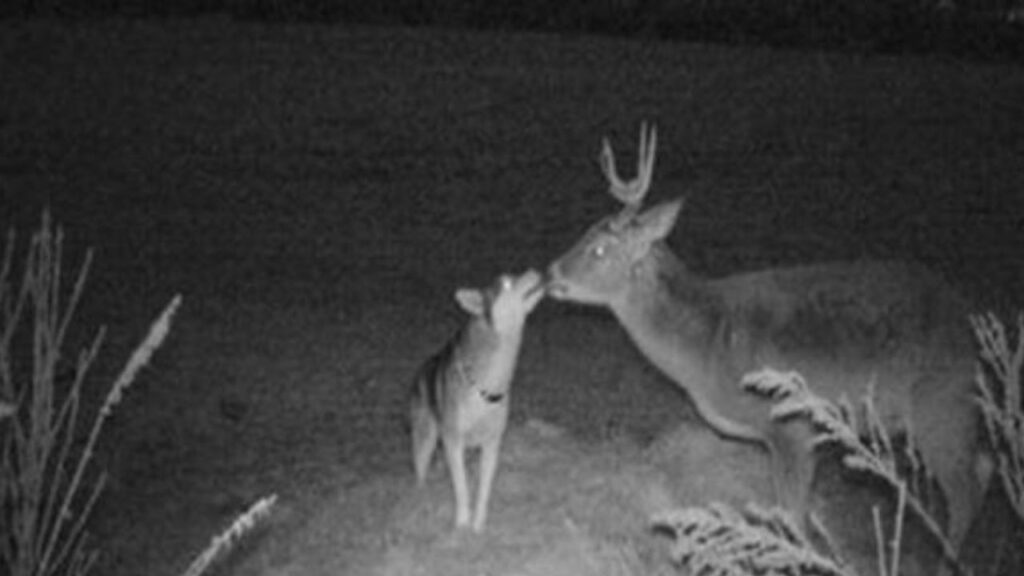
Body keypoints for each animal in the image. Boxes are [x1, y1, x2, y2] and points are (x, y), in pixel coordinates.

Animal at [411, 268, 548, 528]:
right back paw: (421, 499)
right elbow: (462, 488)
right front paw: (462, 523)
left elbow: (483, 489)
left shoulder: (491, 443)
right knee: (420, 469)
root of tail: (424, 366)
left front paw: (478, 525)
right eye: (505, 283)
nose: (534, 271)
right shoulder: (453, 440)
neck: (487, 387)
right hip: (426, 438)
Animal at [544, 121, 991, 565]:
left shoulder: (792, 424)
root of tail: (970, 321)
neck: (708, 345)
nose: (550, 275)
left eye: (599, 249)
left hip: (941, 404)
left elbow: (793, 517)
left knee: (965, 493)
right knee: (983, 469)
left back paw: (947, 561)